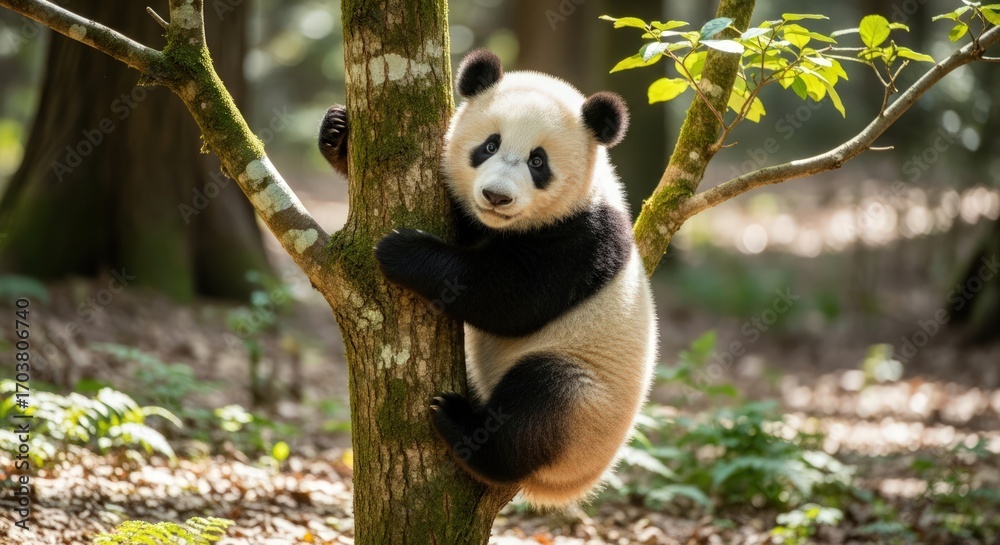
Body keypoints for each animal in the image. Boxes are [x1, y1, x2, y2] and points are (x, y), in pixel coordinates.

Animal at [319, 49, 658, 508]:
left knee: (540, 402)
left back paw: (463, 427)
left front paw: (402, 252)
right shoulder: (481, 221)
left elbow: (509, 299)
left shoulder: (582, 239)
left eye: (538, 161)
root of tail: (572, 484)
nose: (496, 196)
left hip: (587, 403)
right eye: (489, 145)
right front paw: (337, 132)